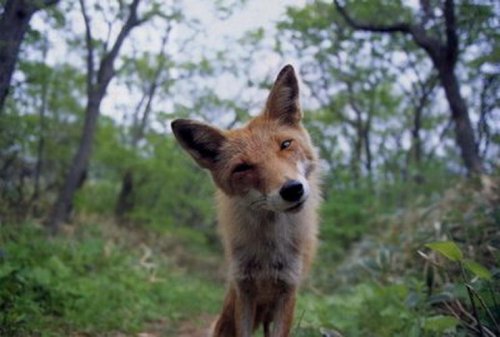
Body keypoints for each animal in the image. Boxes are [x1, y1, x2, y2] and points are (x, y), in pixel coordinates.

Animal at [172, 63, 320, 336]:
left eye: (285, 144)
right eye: (243, 168)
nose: (292, 189)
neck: (268, 253)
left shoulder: (288, 291)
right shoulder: (245, 289)